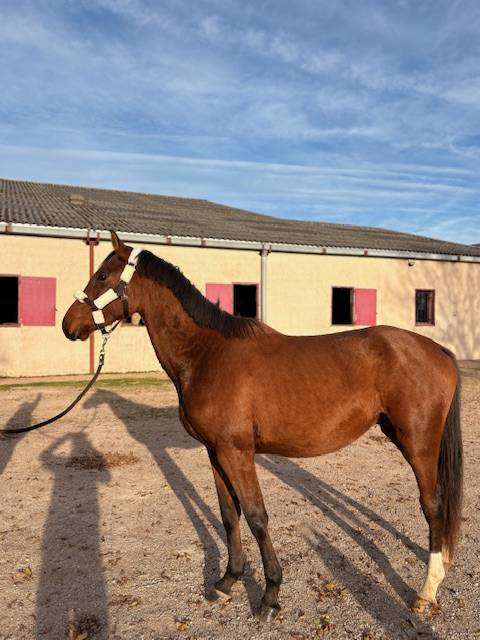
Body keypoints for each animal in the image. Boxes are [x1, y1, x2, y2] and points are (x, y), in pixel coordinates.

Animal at [62, 232, 463, 622]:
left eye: (102, 276)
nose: (69, 325)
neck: (207, 354)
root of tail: (438, 350)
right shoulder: (215, 452)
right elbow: (229, 515)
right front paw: (228, 581)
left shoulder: (237, 452)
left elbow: (256, 516)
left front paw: (270, 595)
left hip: (418, 443)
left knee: (432, 505)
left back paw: (426, 593)